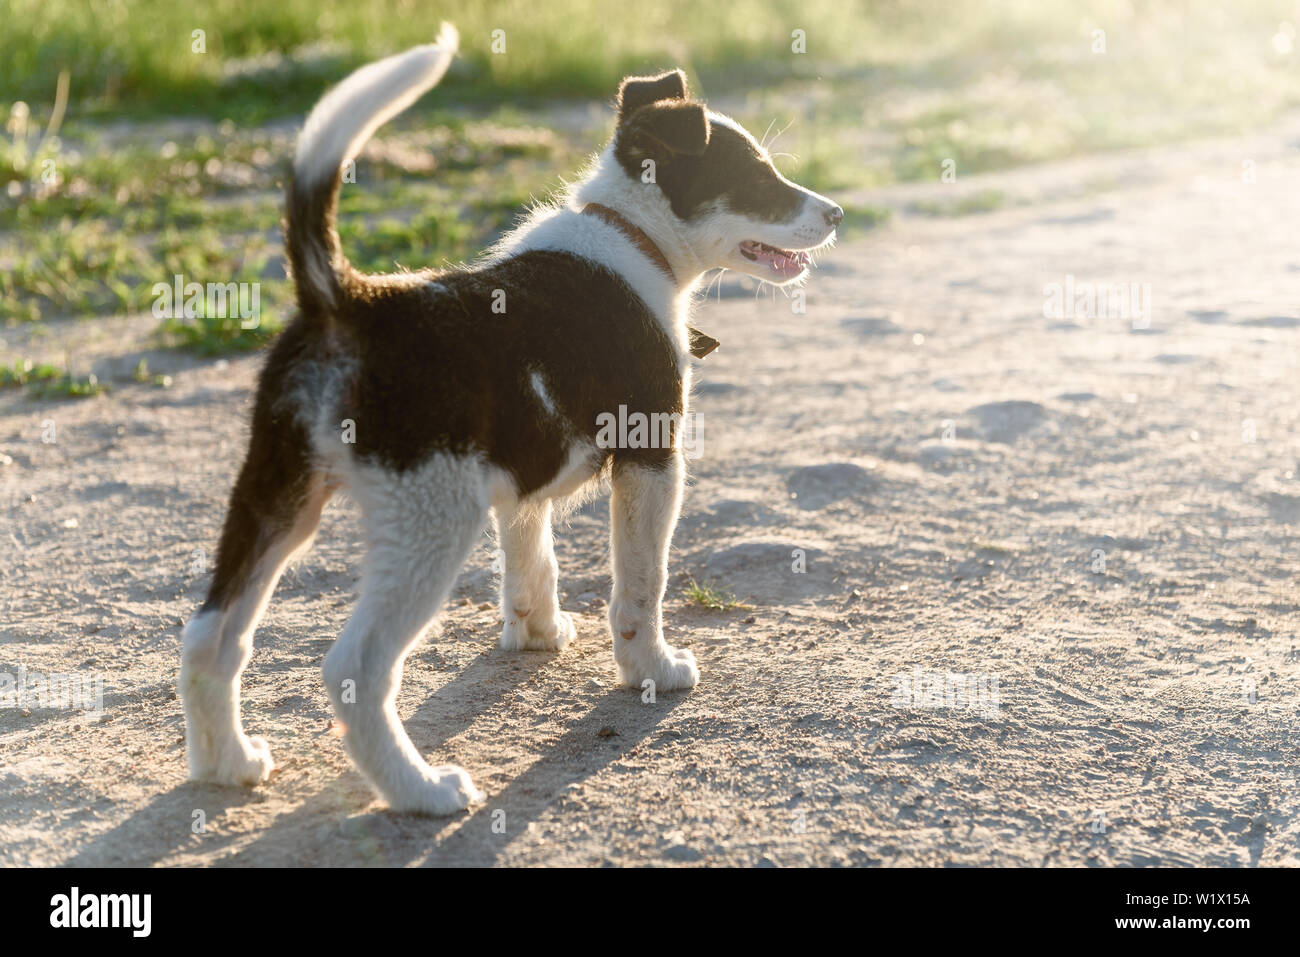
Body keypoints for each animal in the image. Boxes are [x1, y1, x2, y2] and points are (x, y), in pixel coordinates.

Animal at [180, 22, 842, 811]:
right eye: (756, 177)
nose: (836, 214)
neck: (632, 236)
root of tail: (348, 302)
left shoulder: (524, 472)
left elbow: (533, 554)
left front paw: (537, 631)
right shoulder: (652, 458)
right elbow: (640, 581)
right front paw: (649, 668)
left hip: (275, 494)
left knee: (210, 636)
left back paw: (226, 765)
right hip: (428, 518)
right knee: (354, 667)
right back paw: (421, 790)